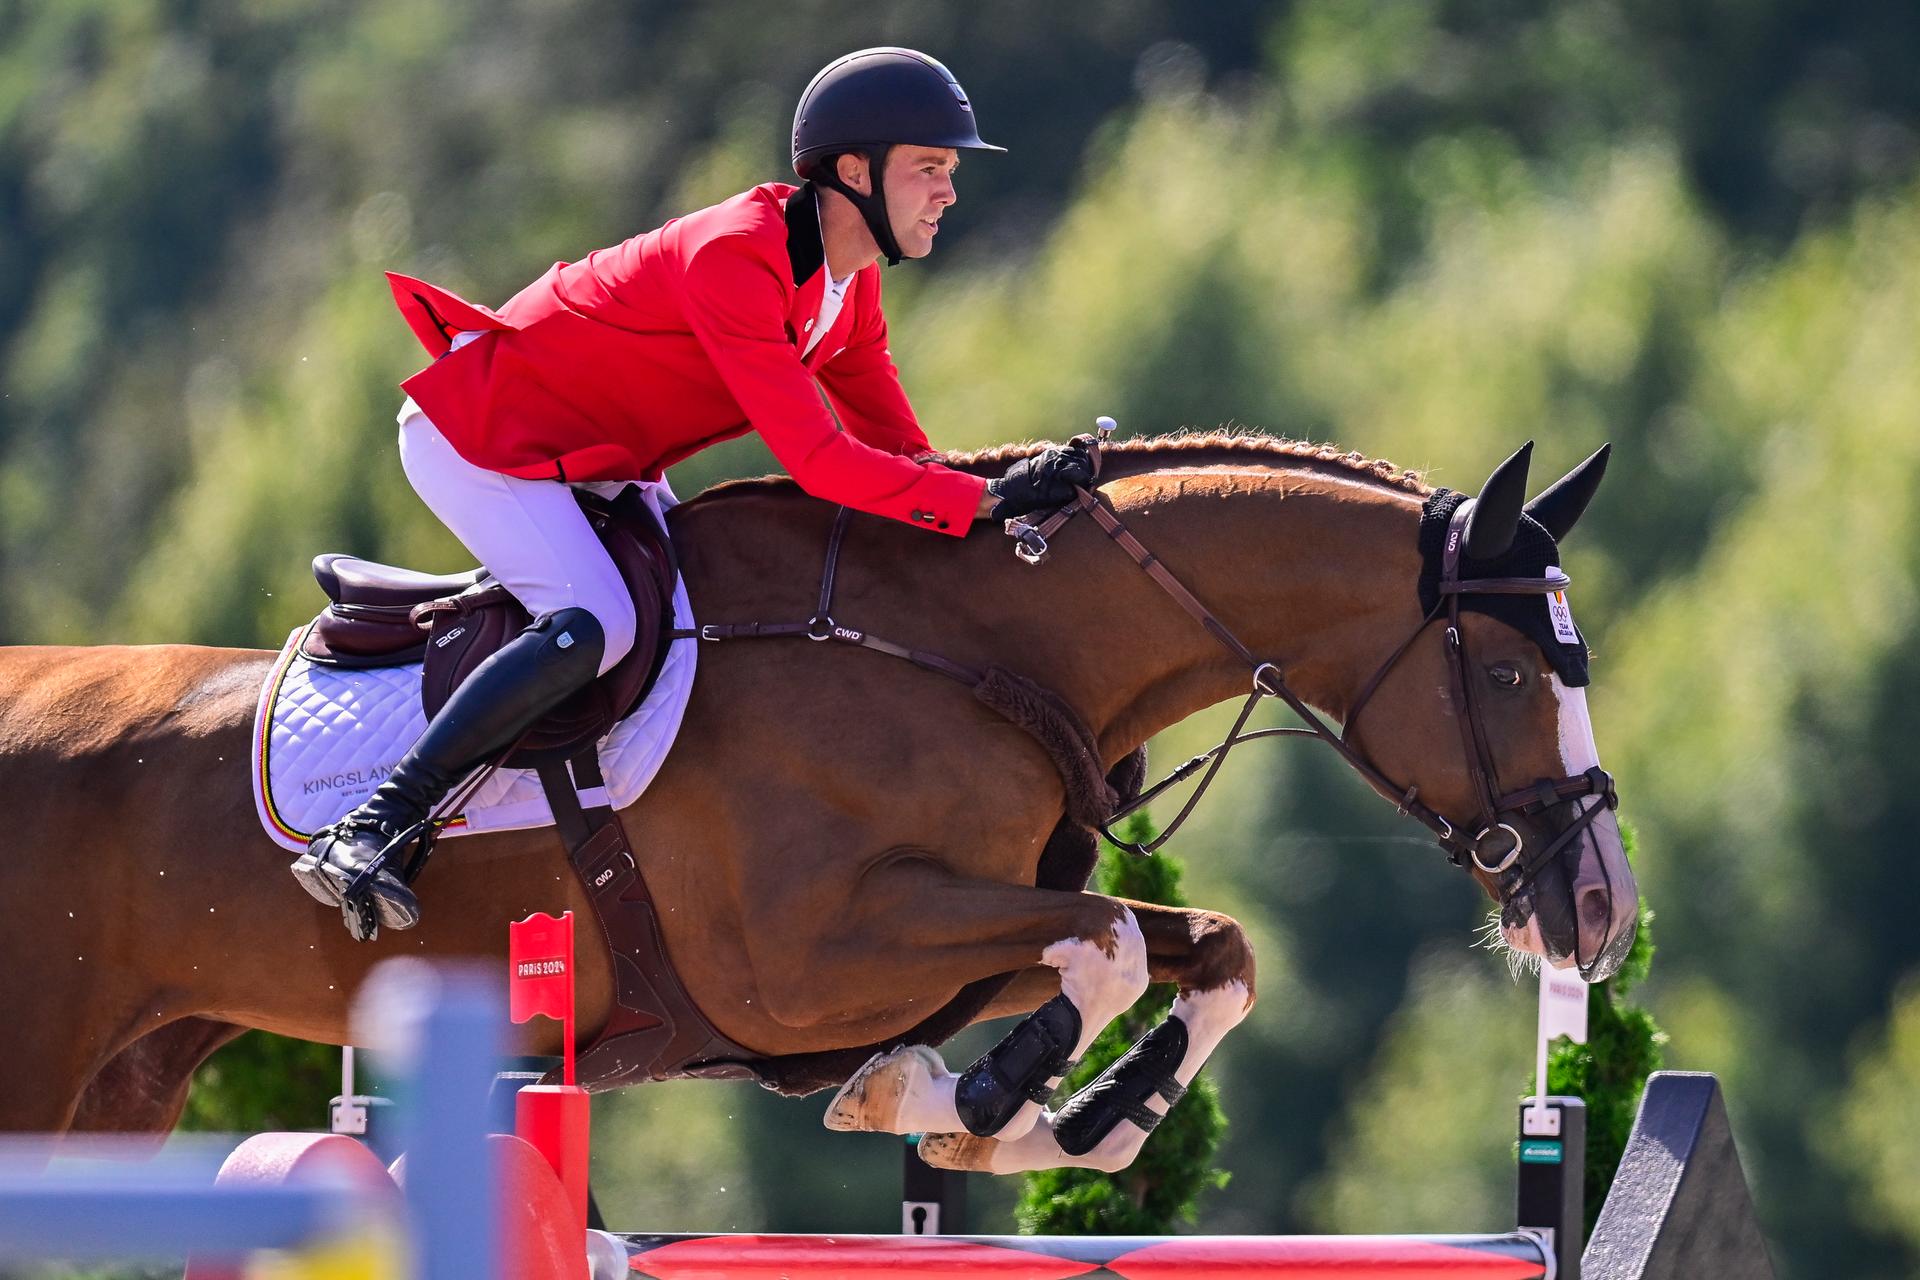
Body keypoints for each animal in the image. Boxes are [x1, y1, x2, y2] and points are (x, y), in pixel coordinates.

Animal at [0, 432, 1636, 1176]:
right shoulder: (807, 962)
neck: (979, 644)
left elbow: (1204, 946)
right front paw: (975, 1101)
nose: (1598, 906)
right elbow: (1108, 941)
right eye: (1507, 670)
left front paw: (1073, 1119)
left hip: (124, 1087)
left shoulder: (942, 932)